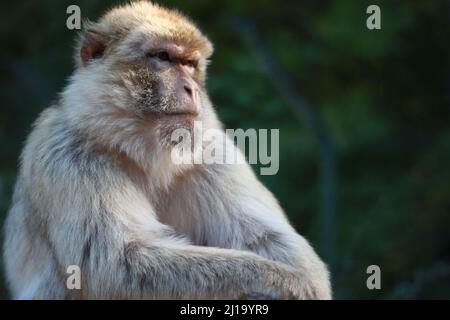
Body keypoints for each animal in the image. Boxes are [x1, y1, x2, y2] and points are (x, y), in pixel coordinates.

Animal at [2, 1, 330, 298]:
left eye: (190, 65)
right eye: (163, 58)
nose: (191, 89)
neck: (143, 153)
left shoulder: (211, 151)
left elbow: (268, 238)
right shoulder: (69, 152)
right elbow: (116, 263)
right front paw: (283, 281)